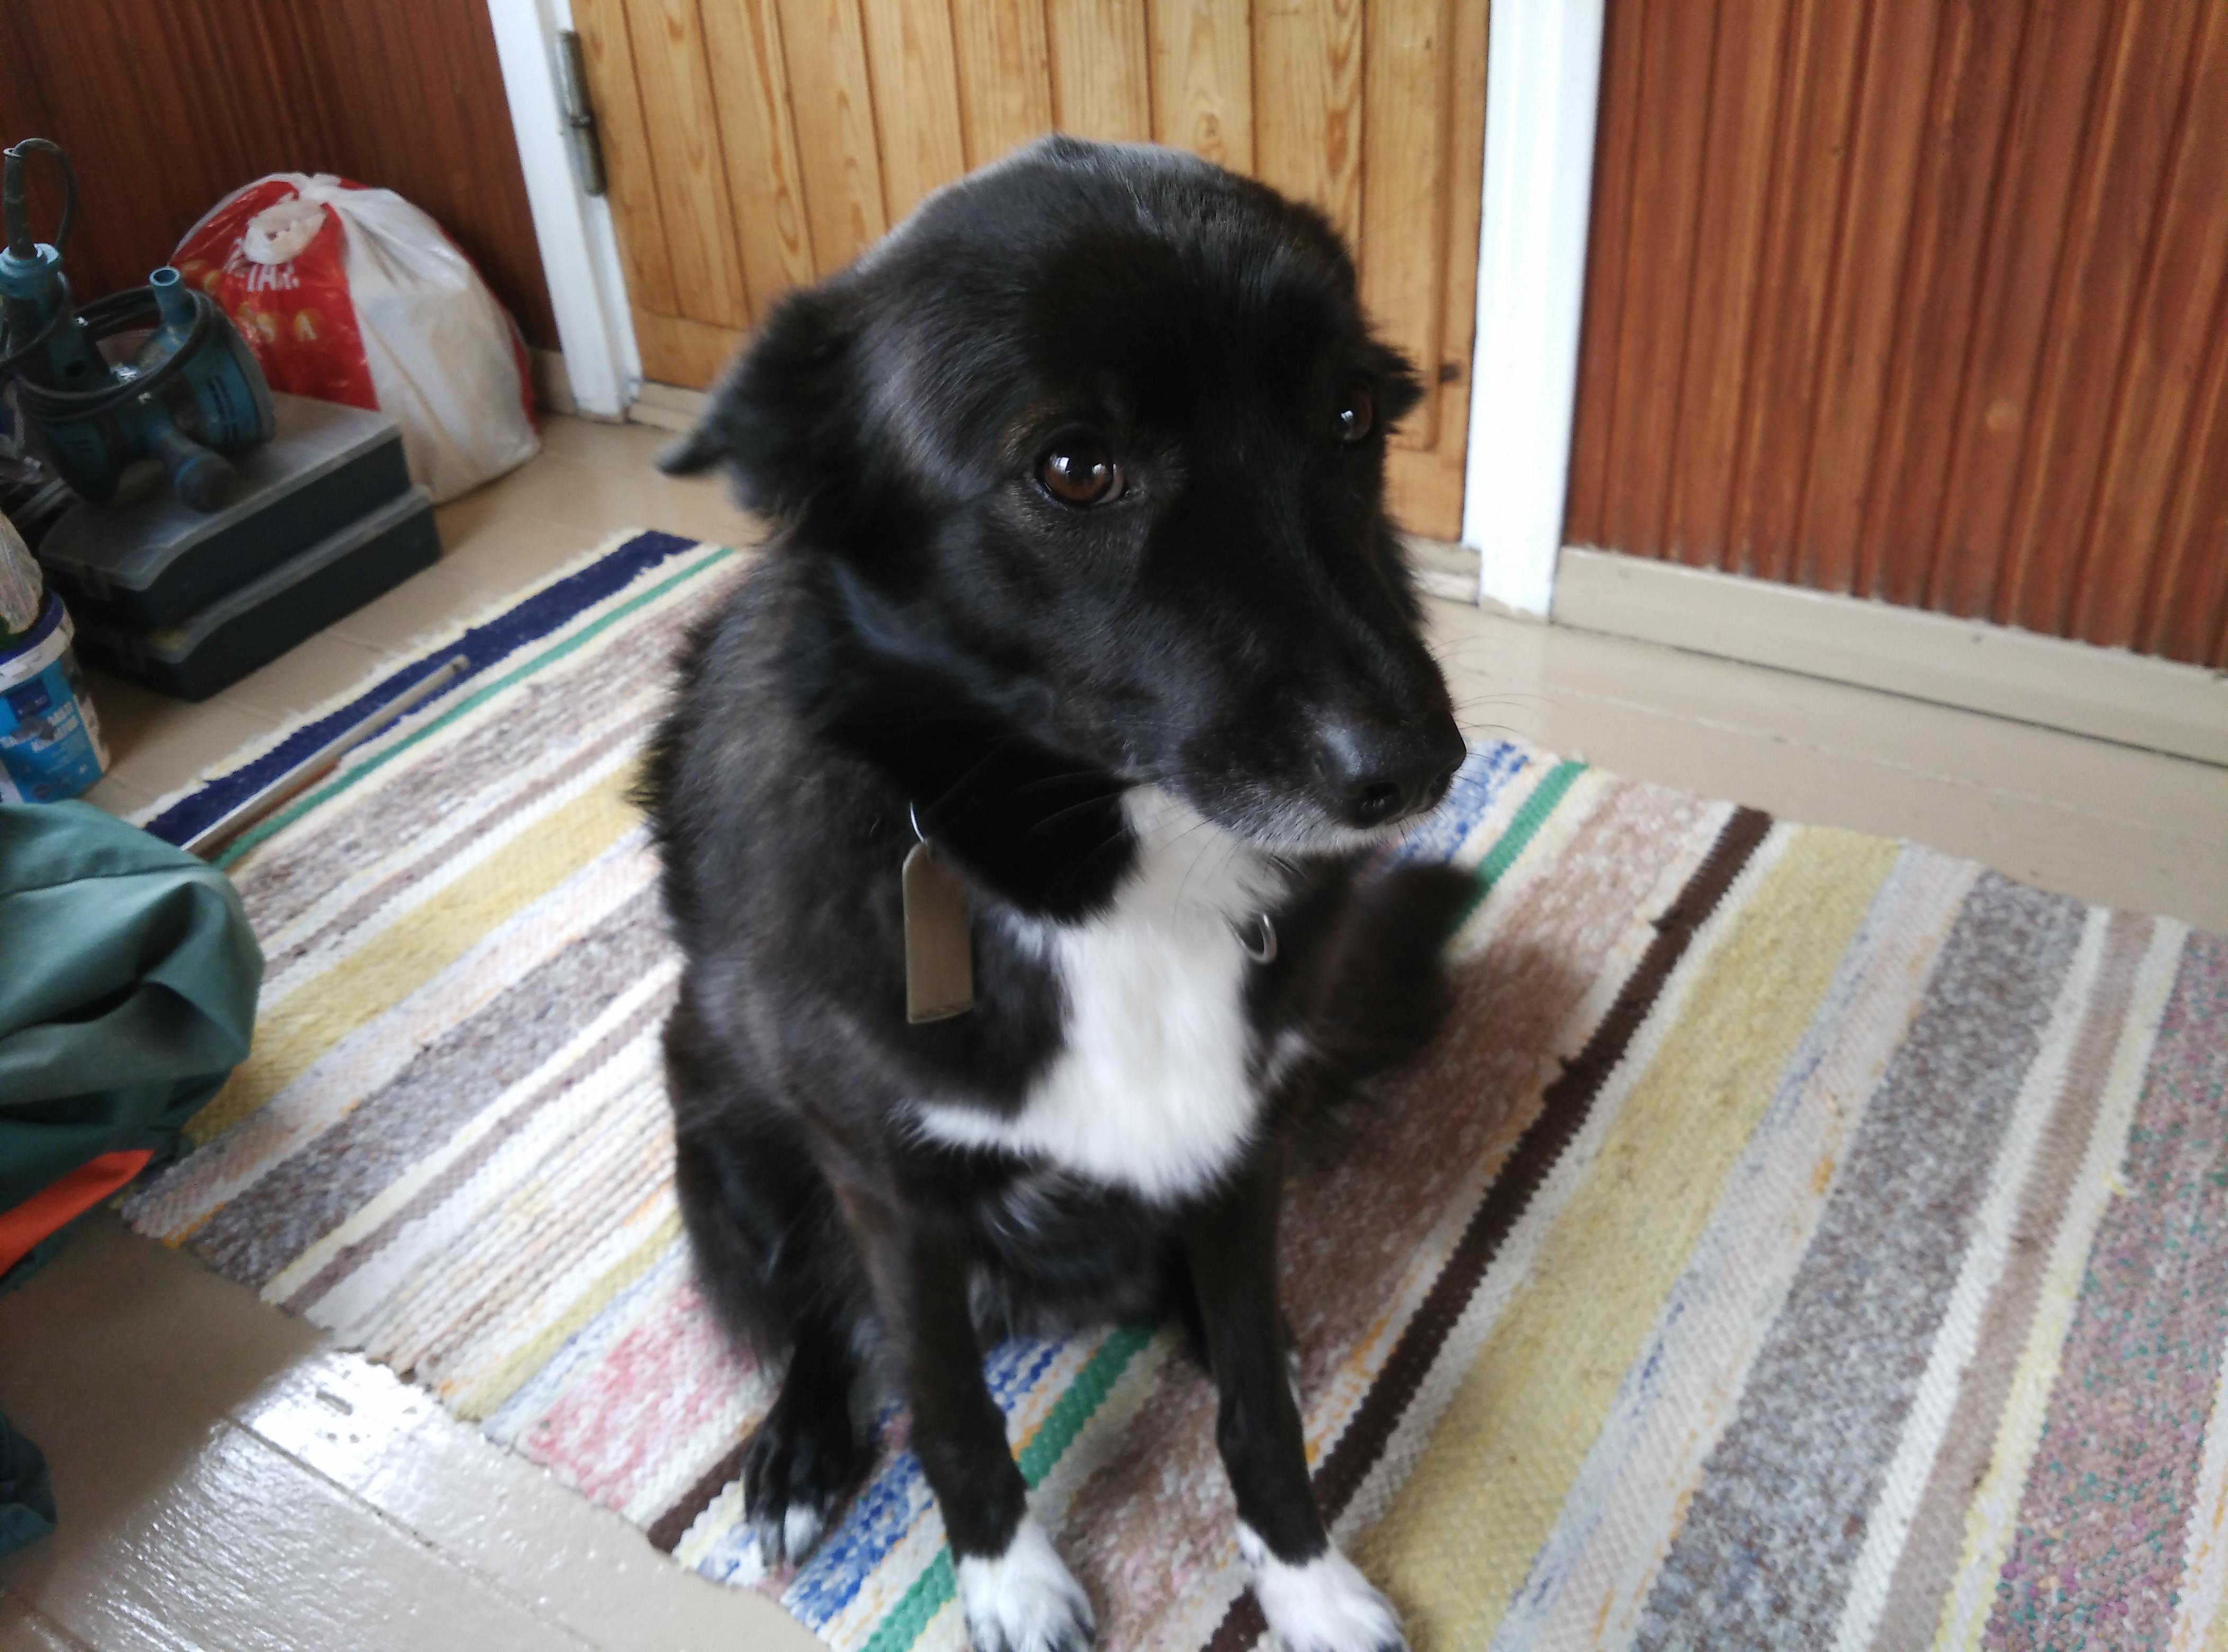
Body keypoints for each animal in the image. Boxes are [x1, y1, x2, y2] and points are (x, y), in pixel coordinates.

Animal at [642, 136, 1471, 1652]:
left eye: (1345, 415)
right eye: (1077, 468)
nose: (1415, 766)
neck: (1100, 875)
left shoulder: (1241, 1134)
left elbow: (1256, 1407)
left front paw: (1304, 1578)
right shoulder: (888, 1187)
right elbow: (950, 1409)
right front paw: (1010, 1581)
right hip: (719, 1124)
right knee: (813, 1317)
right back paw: (798, 1450)